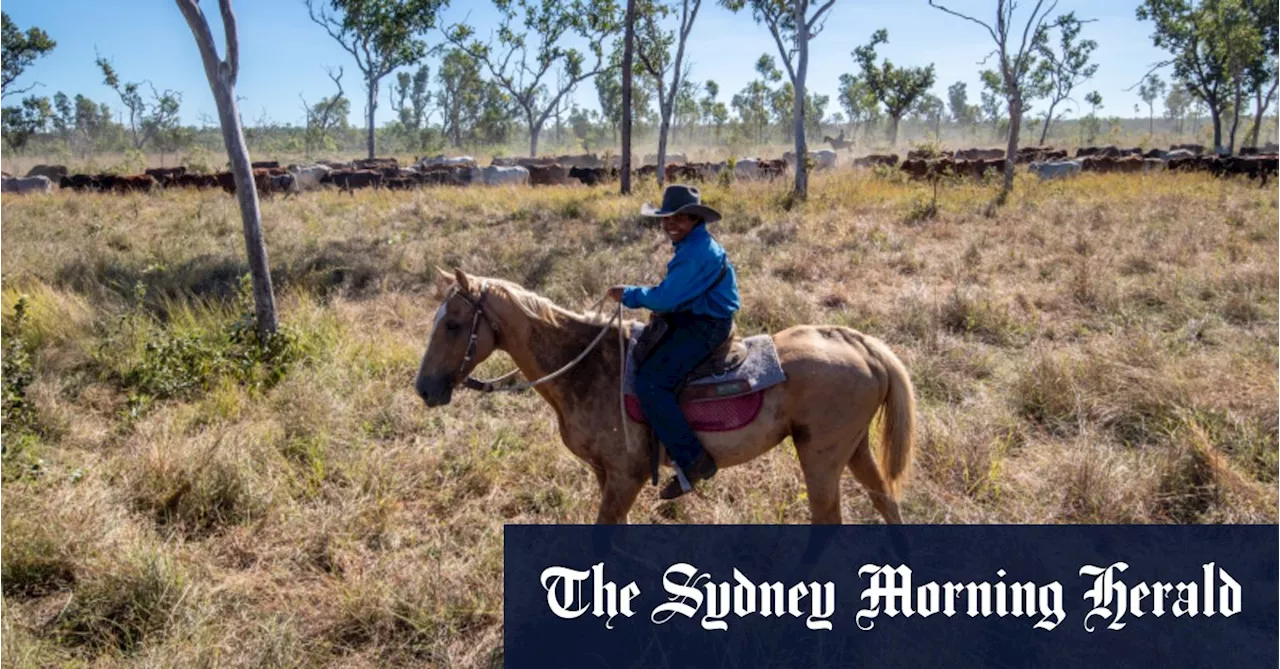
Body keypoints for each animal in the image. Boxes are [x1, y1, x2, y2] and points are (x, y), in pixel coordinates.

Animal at [414, 269, 916, 527]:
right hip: (854, 449)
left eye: (453, 324)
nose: (424, 388)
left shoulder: (626, 477)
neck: (584, 366)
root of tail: (859, 343)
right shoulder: (607, 475)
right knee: (885, 502)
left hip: (821, 457)